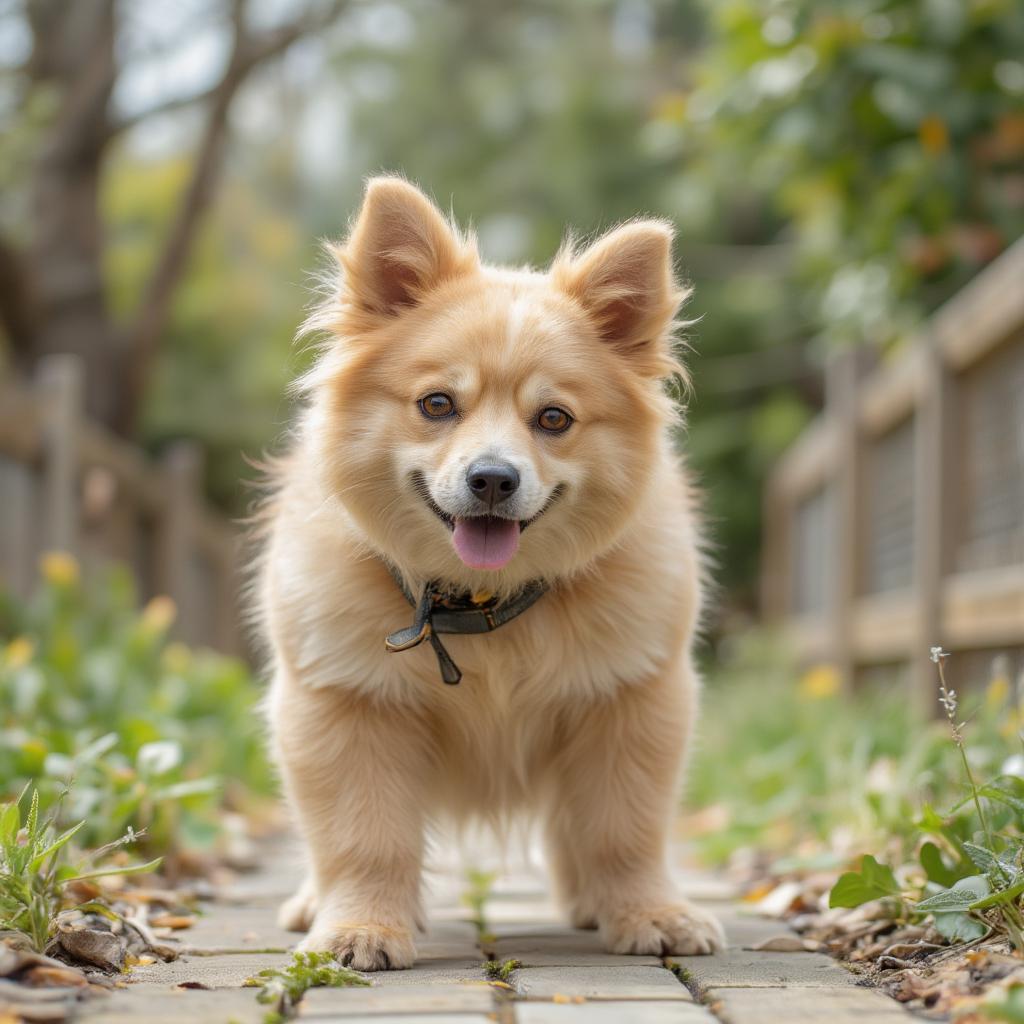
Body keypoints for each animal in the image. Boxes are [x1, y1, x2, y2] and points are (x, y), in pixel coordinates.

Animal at [254, 176, 724, 966]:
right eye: (437, 404)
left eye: (554, 419)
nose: (494, 479)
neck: (477, 604)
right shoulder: (346, 708)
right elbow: (364, 839)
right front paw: (361, 927)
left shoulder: (631, 704)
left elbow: (624, 831)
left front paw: (649, 912)